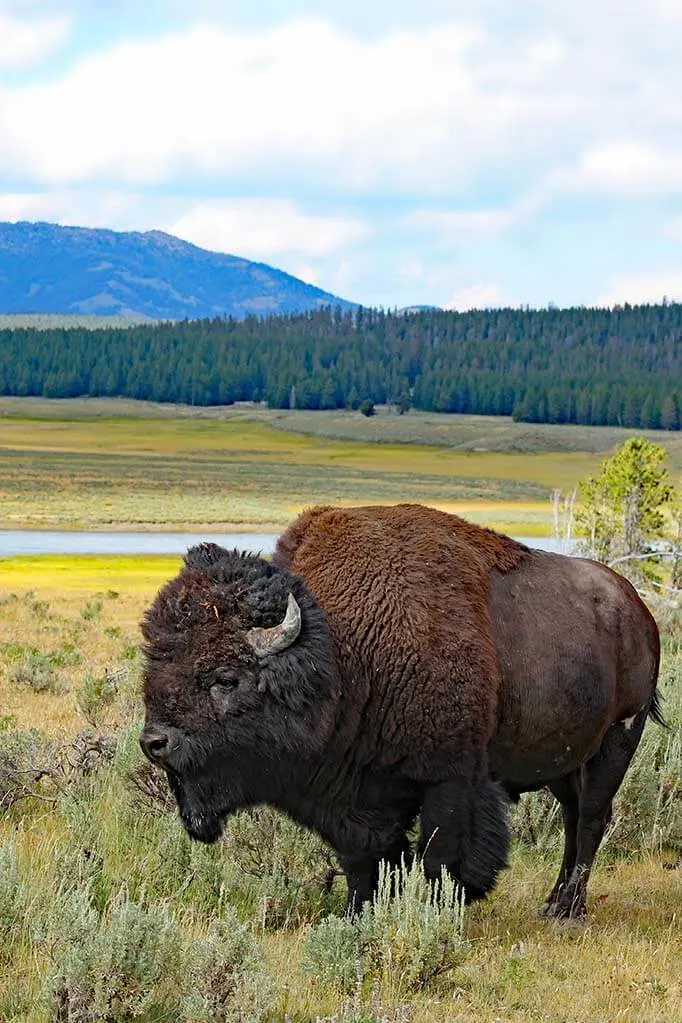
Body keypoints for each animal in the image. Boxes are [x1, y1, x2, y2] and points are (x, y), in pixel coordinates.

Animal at [140, 503, 662, 920]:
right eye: (154, 661)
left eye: (226, 678)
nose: (154, 742)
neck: (344, 654)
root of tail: (639, 610)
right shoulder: (355, 798)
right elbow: (365, 860)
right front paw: (356, 916)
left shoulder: (450, 780)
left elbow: (439, 856)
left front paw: (433, 914)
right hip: (564, 760)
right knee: (574, 817)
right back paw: (552, 903)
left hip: (617, 741)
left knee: (592, 818)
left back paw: (569, 909)